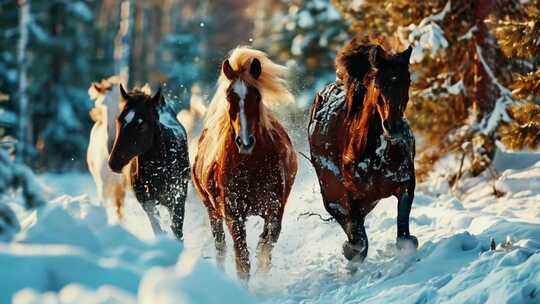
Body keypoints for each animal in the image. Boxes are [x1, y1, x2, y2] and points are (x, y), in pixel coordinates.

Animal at [107, 85, 190, 240]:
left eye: (141, 124)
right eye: (119, 119)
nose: (114, 162)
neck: (158, 171)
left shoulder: (178, 199)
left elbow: (177, 231)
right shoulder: (146, 201)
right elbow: (156, 227)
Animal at [192, 46, 298, 282]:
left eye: (257, 96)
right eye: (229, 96)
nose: (245, 141)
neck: (250, 166)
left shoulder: (274, 209)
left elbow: (265, 247)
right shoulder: (233, 216)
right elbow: (242, 260)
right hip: (211, 210)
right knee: (220, 247)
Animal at [308, 36, 418, 262]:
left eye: (407, 81)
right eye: (378, 84)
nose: (393, 127)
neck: (375, 155)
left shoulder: (405, 183)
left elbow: (403, 230)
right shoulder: (350, 199)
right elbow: (359, 240)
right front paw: (349, 250)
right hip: (331, 195)